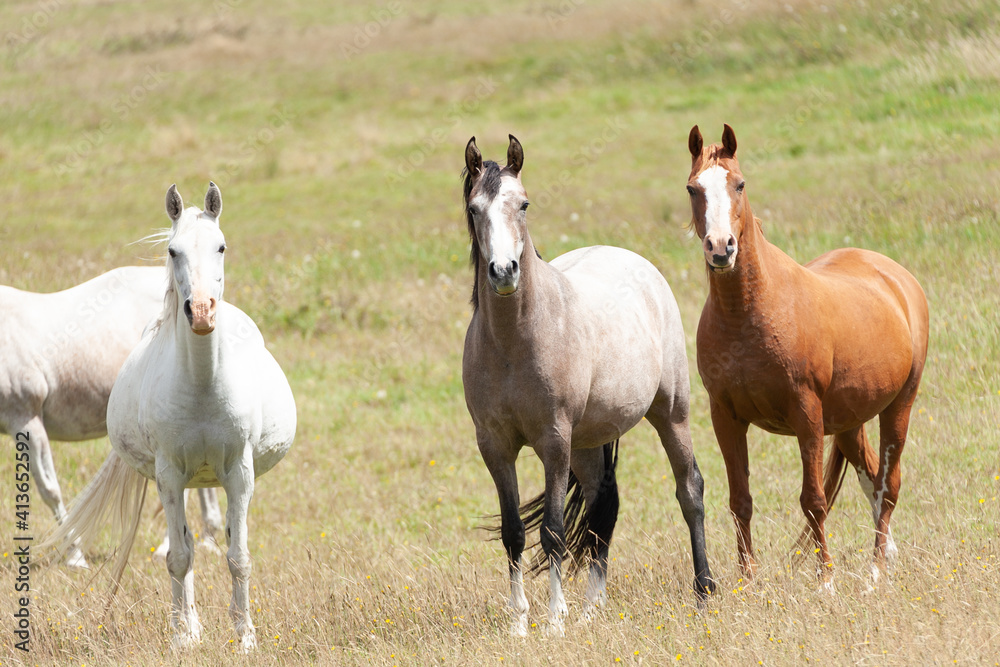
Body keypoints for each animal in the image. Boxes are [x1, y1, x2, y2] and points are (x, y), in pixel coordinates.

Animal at [43, 182, 297, 652]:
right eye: (173, 251)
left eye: (221, 247)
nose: (202, 312)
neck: (202, 386)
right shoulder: (169, 474)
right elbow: (178, 558)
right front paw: (183, 637)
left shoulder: (240, 473)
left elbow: (238, 557)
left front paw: (246, 638)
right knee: (187, 547)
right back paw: (191, 627)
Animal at [462, 135, 714, 636]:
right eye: (475, 208)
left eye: (523, 204)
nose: (503, 272)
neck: (512, 343)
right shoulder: (495, 446)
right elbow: (513, 532)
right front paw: (520, 624)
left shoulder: (554, 440)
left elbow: (553, 531)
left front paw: (554, 621)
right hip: (587, 442)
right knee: (603, 504)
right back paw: (593, 606)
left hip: (670, 413)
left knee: (689, 490)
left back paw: (703, 591)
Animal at [686, 124, 929, 588]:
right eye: (693, 188)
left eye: (739, 184)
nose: (721, 249)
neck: (748, 311)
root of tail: (896, 276)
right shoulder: (725, 416)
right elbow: (740, 500)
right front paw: (748, 582)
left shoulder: (807, 415)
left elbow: (813, 500)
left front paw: (827, 582)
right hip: (850, 421)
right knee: (872, 477)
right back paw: (886, 555)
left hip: (899, 406)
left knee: (888, 485)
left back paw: (875, 571)